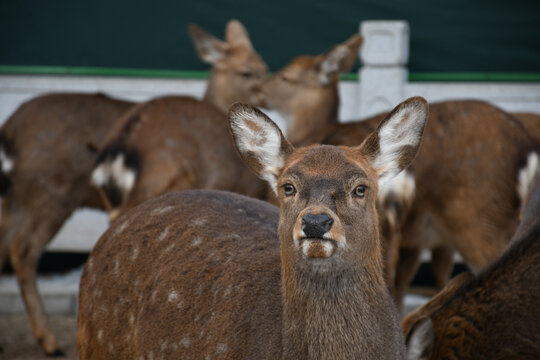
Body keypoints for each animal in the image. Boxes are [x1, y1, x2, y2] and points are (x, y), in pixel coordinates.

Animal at [92, 20, 270, 222]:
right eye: (246, 73)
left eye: (264, 67)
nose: (267, 97)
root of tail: (117, 156)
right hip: (166, 182)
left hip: (111, 202)